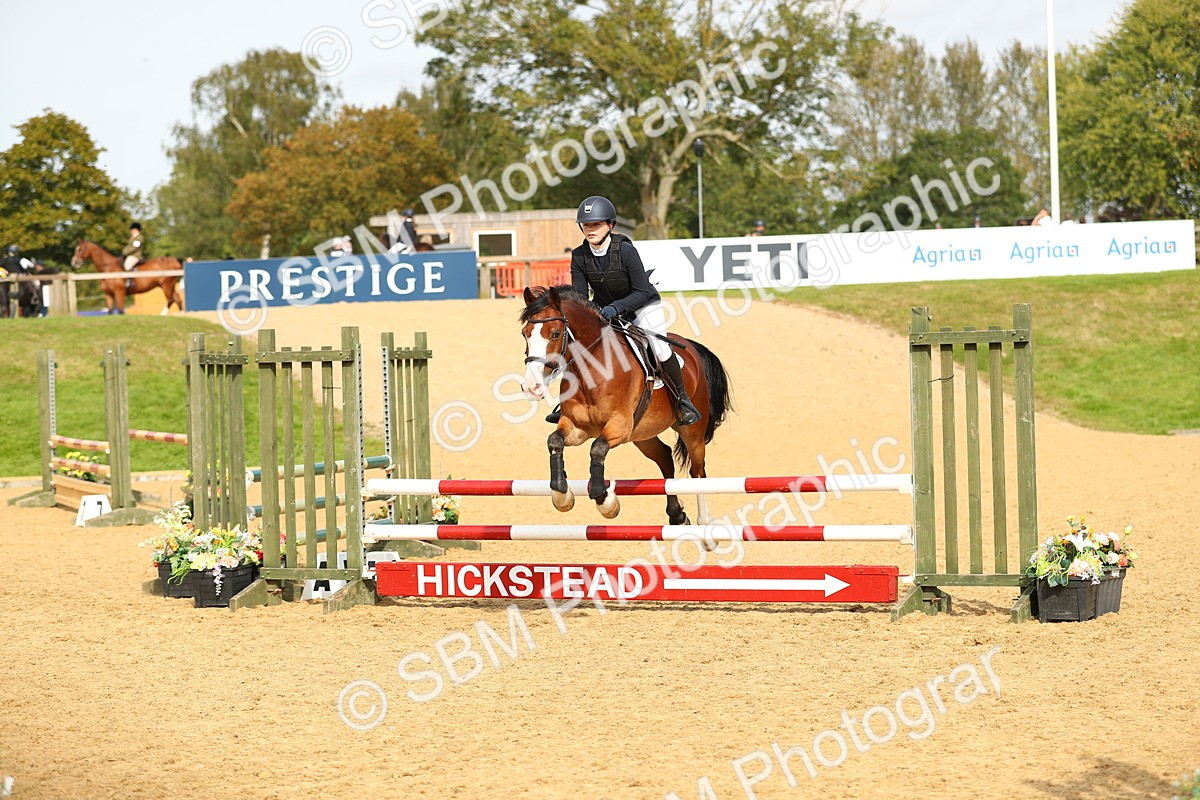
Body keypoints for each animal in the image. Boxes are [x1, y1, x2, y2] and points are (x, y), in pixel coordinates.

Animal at [520, 285, 732, 525]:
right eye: (525, 334)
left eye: (555, 333)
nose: (531, 387)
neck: (592, 371)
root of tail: (691, 347)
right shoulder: (578, 427)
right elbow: (554, 441)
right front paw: (562, 495)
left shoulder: (619, 425)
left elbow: (597, 449)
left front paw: (606, 502)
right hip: (642, 435)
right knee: (665, 458)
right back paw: (677, 515)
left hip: (692, 431)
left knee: (698, 470)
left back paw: (704, 522)